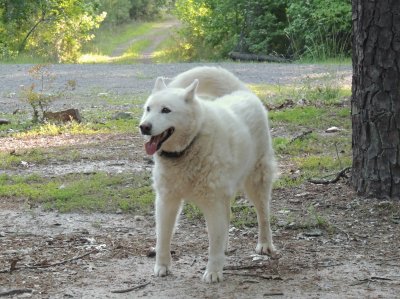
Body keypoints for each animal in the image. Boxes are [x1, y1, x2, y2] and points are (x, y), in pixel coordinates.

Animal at [139, 66, 276, 284]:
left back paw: (264, 244)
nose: (144, 127)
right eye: (148, 109)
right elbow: (163, 238)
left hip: (256, 183)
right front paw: (162, 266)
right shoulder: (166, 201)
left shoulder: (212, 203)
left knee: (263, 216)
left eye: (166, 110)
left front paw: (213, 272)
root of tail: (241, 92)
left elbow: (213, 243)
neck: (189, 146)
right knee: (228, 217)